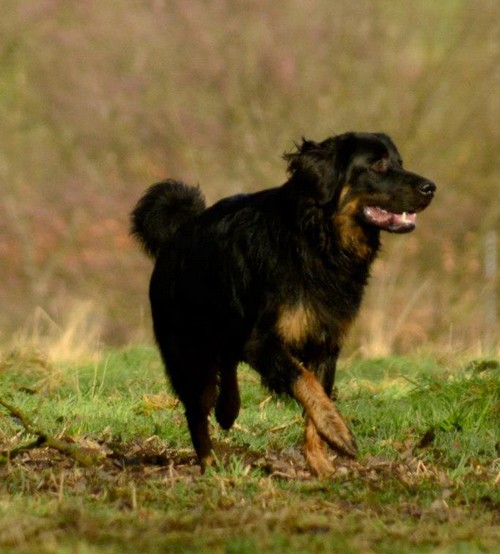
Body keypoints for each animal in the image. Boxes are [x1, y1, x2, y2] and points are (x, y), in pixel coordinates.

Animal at [131, 130, 436, 474]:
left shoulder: (325, 343)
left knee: (227, 365)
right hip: (190, 351)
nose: (431, 187)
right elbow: (304, 382)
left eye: (400, 162)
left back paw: (228, 408)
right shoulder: (263, 341)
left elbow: (316, 395)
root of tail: (177, 233)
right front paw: (337, 430)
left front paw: (320, 462)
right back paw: (209, 461)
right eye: (379, 164)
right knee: (197, 408)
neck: (318, 240)